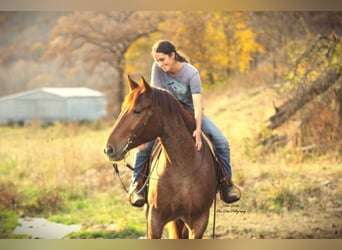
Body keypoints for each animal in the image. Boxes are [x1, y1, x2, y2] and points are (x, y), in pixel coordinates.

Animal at [103, 75, 218, 238]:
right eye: (122, 109)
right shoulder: (155, 220)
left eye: (137, 111)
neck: (182, 166)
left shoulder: (199, 222)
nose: (109, 149)